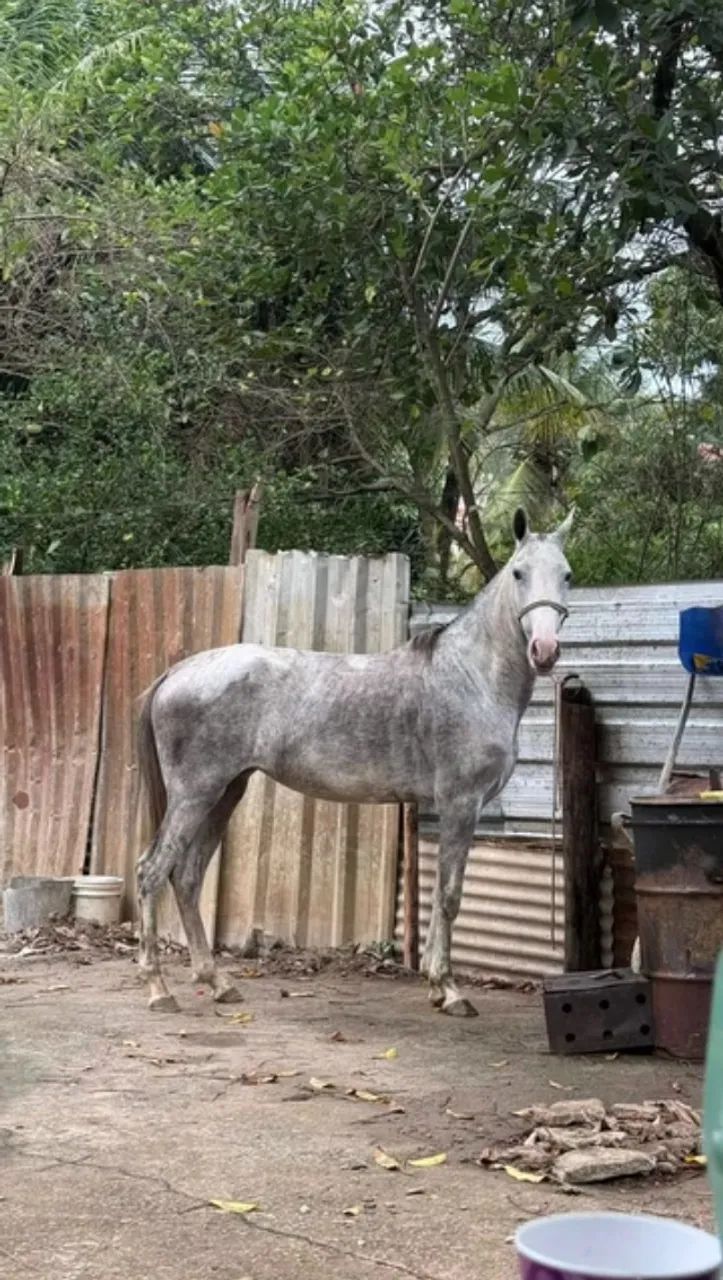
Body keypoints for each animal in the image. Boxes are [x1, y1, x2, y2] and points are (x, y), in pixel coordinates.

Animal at [135, 506, 574, 1016]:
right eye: (519, 573)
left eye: (566, 575)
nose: (545, 651)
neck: (471, 676)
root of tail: (177, 672)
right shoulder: (460, 803)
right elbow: (448, 896)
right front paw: (449, 989)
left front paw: (434, 985)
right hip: (195, 794)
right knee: (151, 872)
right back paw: (158, 988)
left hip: (226, 792)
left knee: (186, 877)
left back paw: (218, 981)